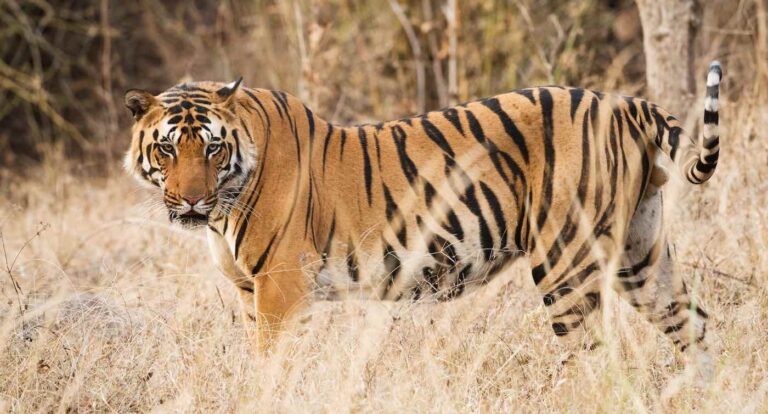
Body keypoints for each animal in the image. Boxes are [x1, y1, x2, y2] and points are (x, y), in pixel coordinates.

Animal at [124, 61, 722, 366]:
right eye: (168, 149)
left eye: (212, 149)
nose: (191, 201)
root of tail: (623, 103)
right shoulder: (251, 291)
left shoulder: (280, 285)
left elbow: (270, 367)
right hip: (641, 253)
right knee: (694, 325)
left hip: (565, 262)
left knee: (594, 359)